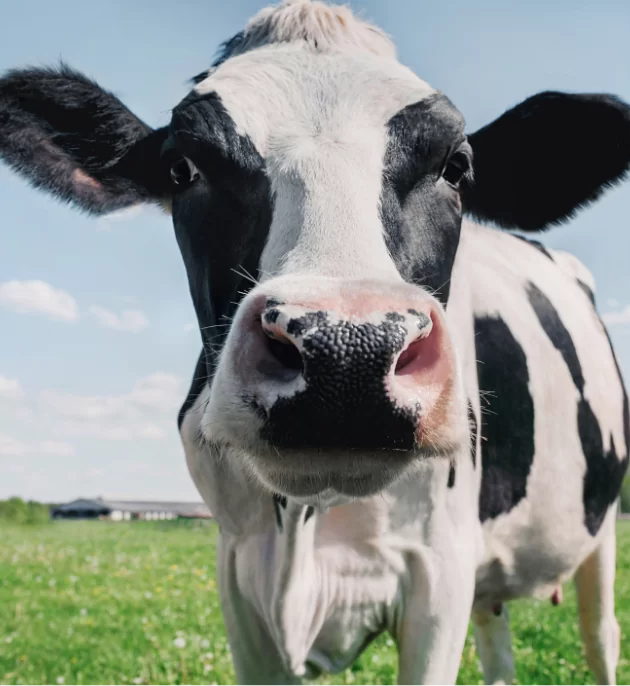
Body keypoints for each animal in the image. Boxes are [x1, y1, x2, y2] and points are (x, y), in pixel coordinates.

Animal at [0, 1, 629, 684]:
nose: (348, 352)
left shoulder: (441, 568)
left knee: (601, 635)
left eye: (456, 167)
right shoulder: (238, 571)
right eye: (182, 168)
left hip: (598, 531)